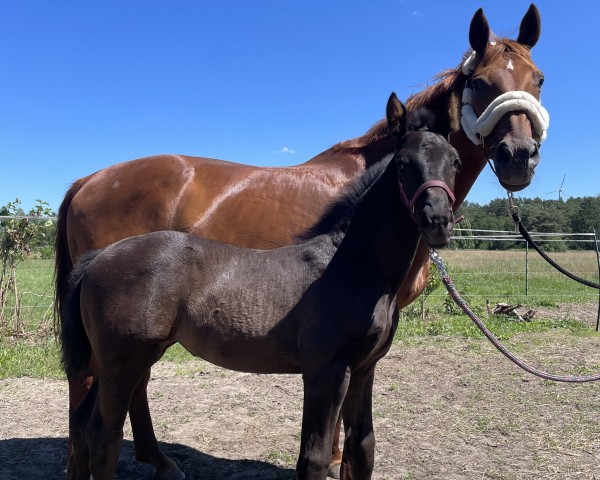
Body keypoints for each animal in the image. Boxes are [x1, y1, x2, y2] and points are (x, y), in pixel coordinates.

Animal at [62, 94, 460, 480]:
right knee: (104, 435)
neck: (352, 266)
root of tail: (98, 258)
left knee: (83, 424)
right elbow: (313, 459)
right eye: (403, 164)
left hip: (121, 360)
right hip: (123, 360)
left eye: (454, 162)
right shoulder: (326, 371)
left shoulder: (364, 369)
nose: (437, 220)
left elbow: (362, 452)